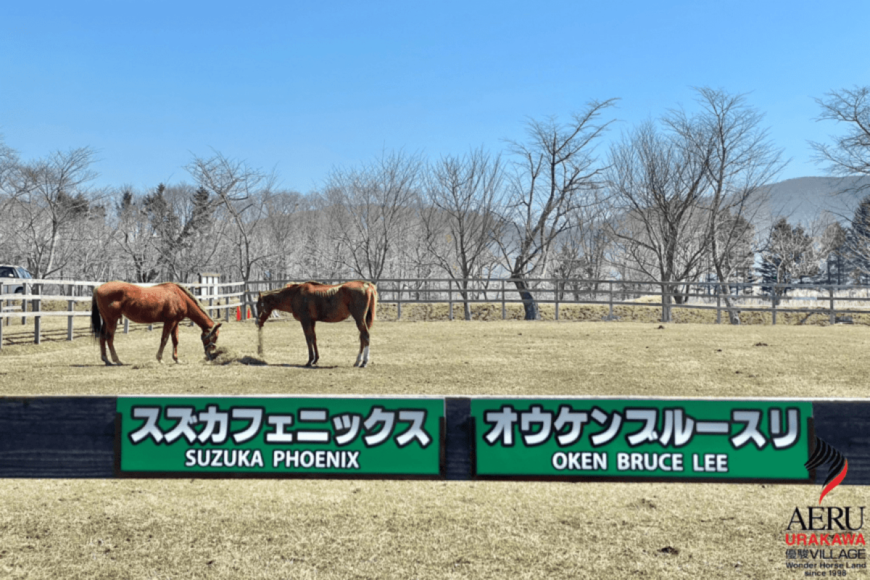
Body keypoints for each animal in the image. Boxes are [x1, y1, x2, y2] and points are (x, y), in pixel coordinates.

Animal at [89, 282, 221, 368]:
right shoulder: (170, 321)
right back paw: (116, 360)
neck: (179, 296)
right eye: (215, 336)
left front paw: (177, 359)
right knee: (109, 338)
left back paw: (106, 360)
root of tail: (98, 287)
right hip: (112, 320)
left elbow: (175, 340)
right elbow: (164, 339)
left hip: (107, 321)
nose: (211, 355)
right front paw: (160, 359)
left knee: (102, 337)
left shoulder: (175, 322)